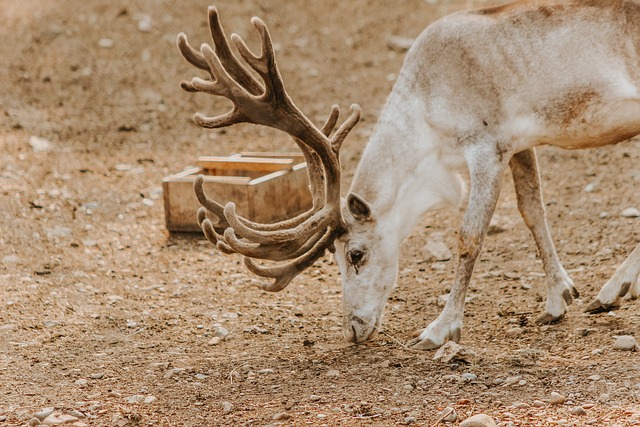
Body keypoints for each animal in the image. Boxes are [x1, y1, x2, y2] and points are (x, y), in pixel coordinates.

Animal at [178, 0, 640, 352]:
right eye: (336, 257)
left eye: (355, 254)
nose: (352, 329)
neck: (427, 115)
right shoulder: (518, 144)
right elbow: (533, 211)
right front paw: (558, 299)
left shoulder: (484, 146)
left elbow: (469, 236)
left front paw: (440, 329)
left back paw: (612, 290)